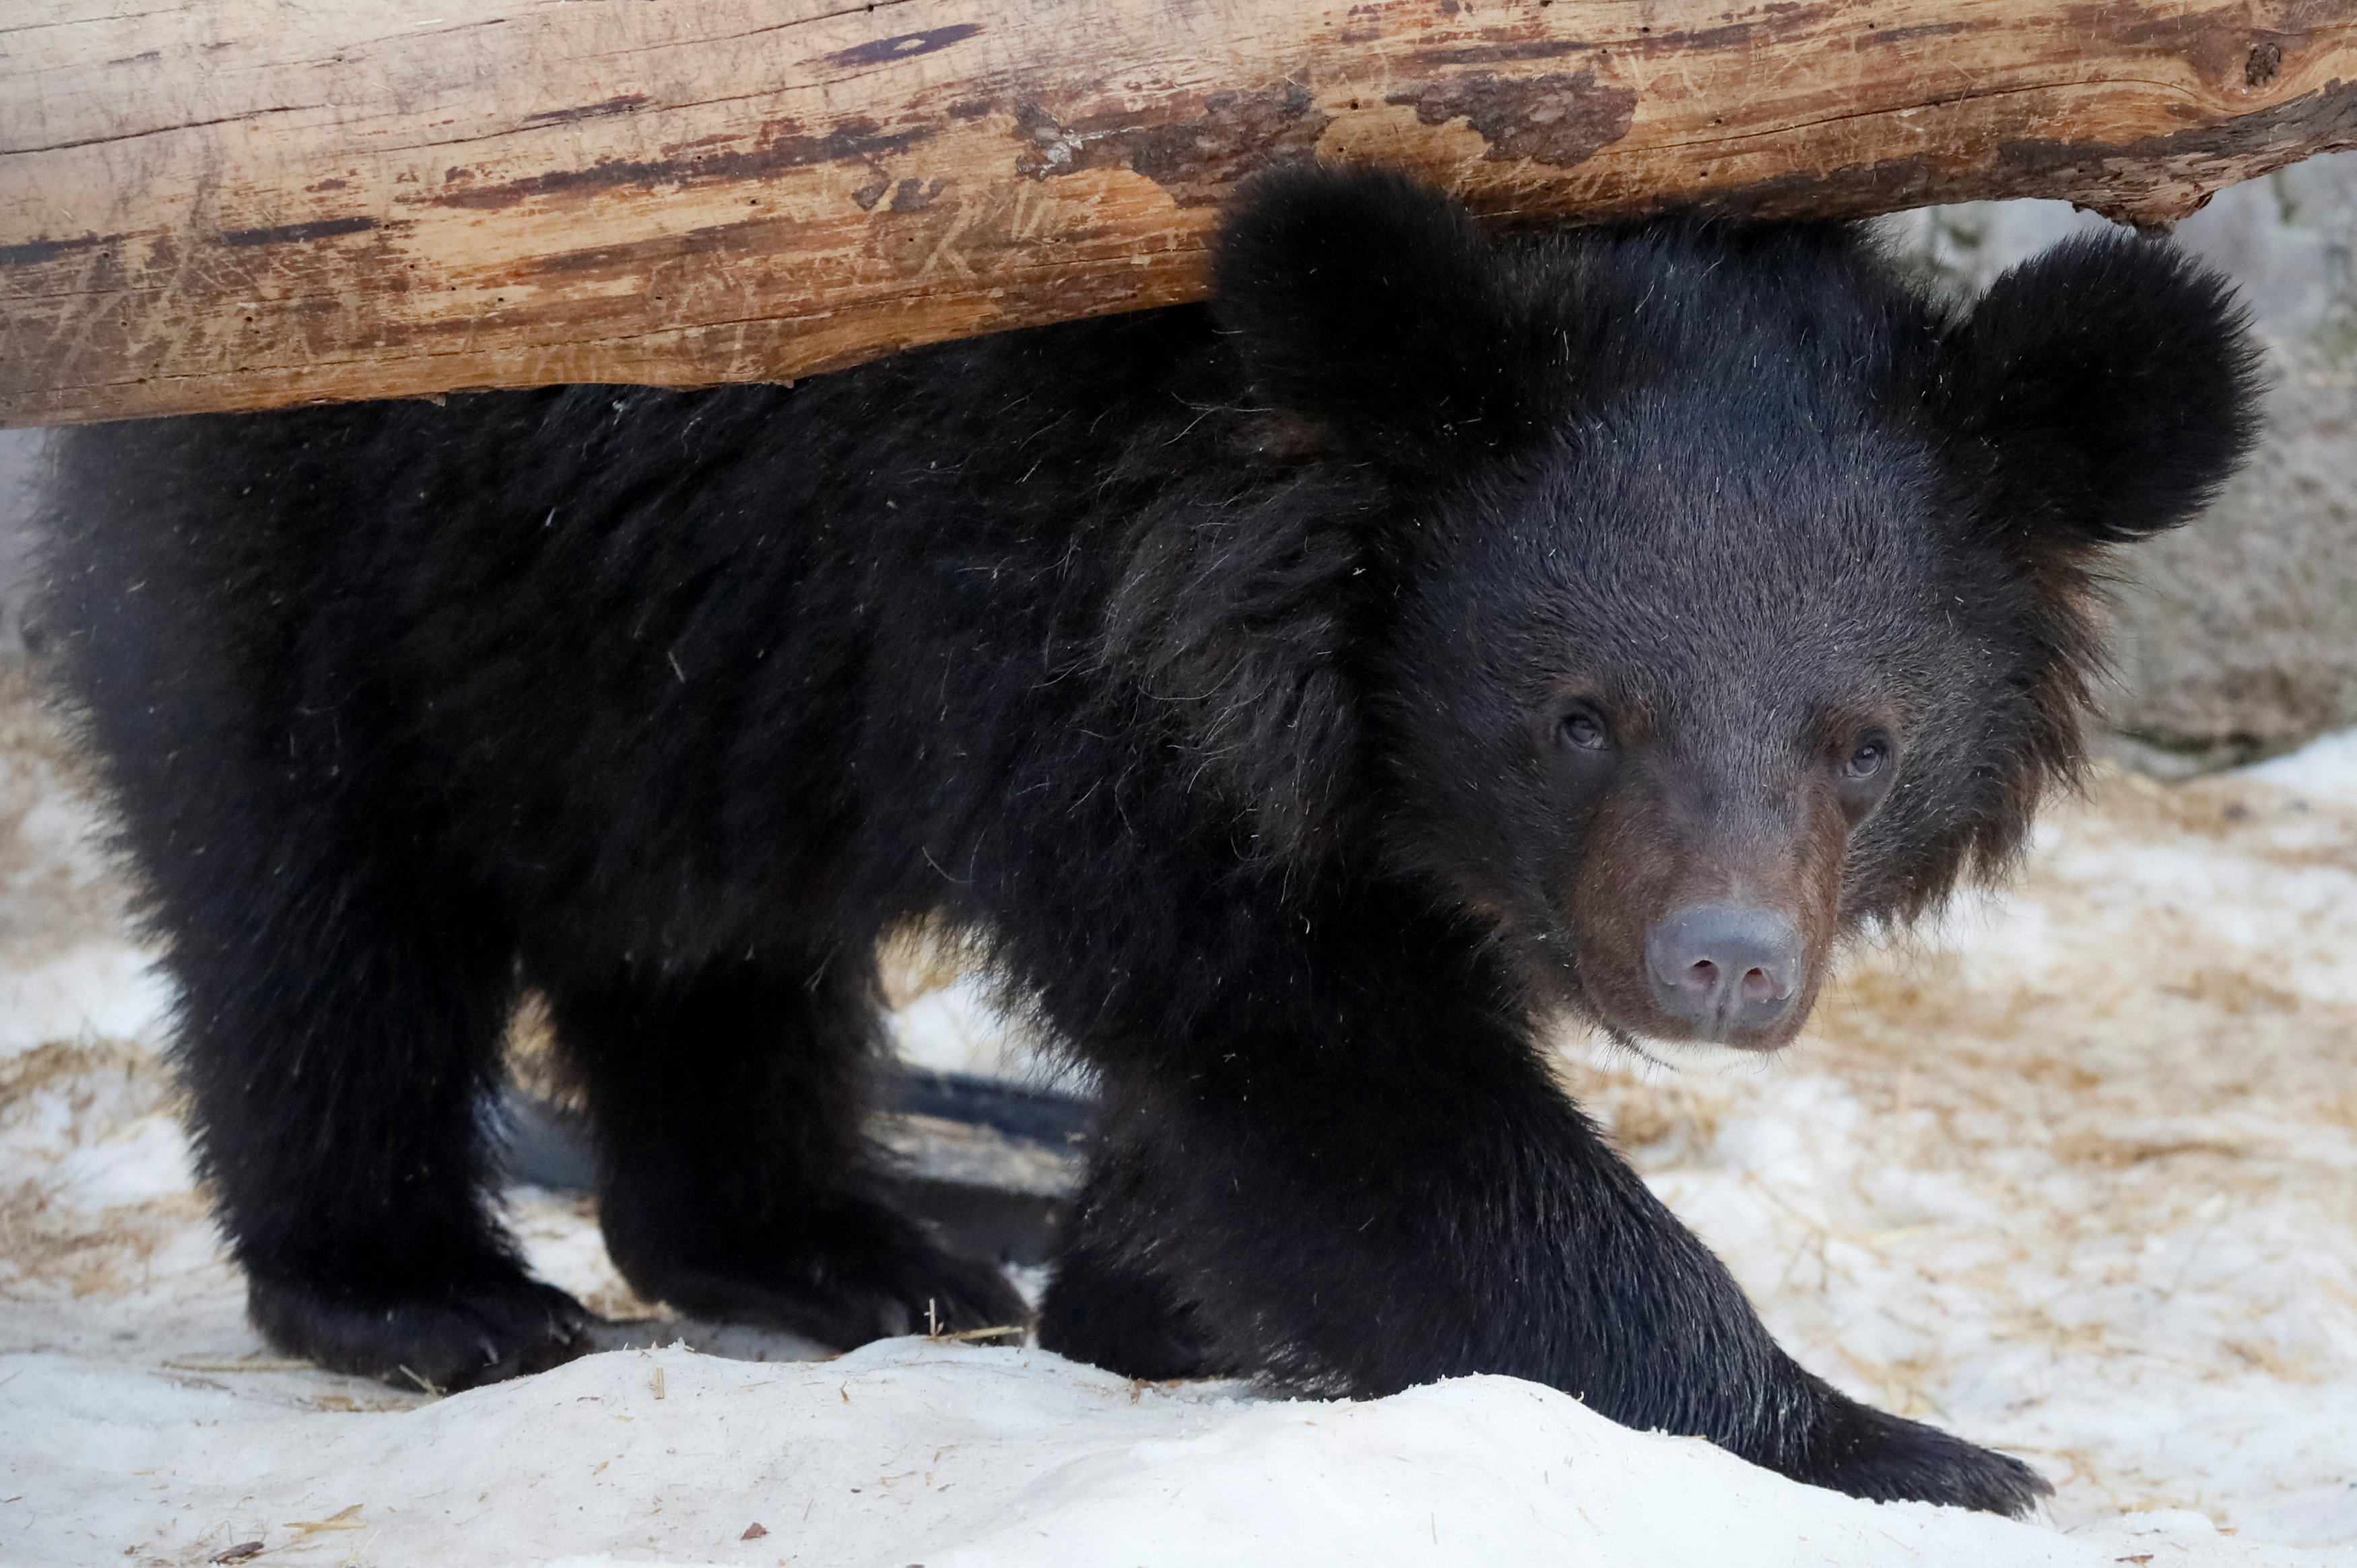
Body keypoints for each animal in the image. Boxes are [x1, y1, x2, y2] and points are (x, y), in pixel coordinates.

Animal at [32, 165, 2244, 1509]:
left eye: (1859, 743)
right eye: (1575, 717)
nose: (1720, 963)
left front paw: (1149, 1294)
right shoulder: (1061, 622)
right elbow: (1320, 1055)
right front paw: (1900, 1449)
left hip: (647, 638)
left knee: (702, 931)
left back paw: (827, 1249)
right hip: (325, 521)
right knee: (314, 903)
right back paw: (425, 1292)